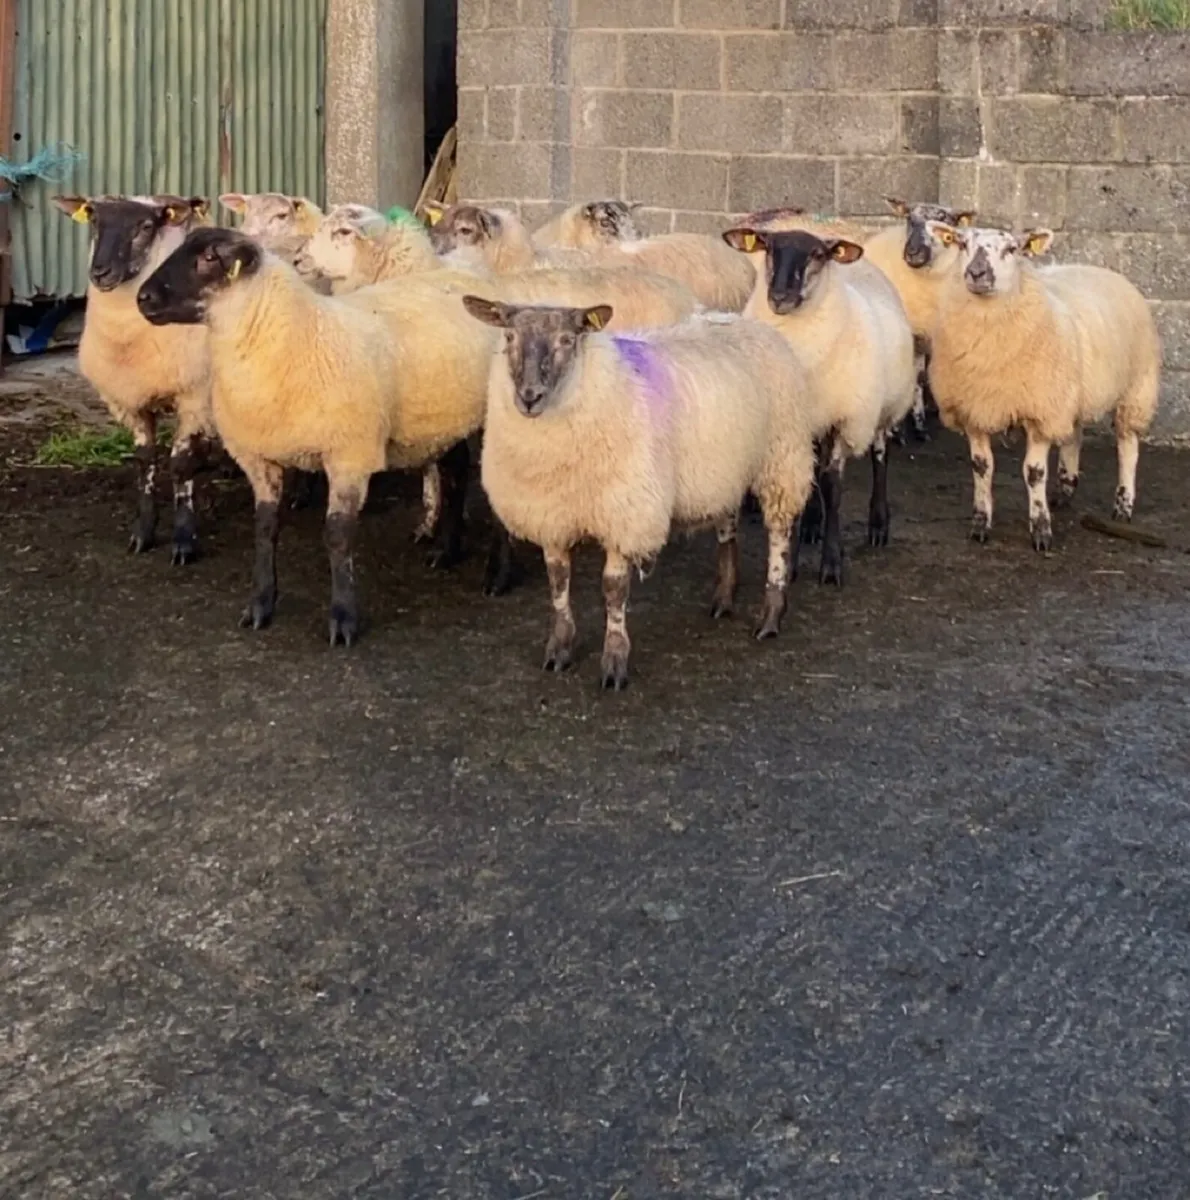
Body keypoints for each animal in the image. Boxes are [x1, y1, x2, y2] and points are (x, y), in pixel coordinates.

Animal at [53, 193, 216, 564]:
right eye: (94, 220)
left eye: (145, 226)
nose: (100, 272)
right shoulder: (129, 401)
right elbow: (145, 462)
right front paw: (143, 532)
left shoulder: (193, 397)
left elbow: (180, 465)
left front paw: (184, 540)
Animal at [136, 228, 501, 646]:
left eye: (210, 258)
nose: (142, 298)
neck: (291, 334)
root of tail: (468, 273)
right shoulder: (259, 459)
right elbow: (265, 529)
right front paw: (260, 605)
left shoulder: (348, 457)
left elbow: (337, 536)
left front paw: (343, 619)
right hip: (444, 420)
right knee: (456, 471)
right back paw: (447, 551)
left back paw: (495, 575)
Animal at [462, 298, 817, 691]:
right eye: (509, 336)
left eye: (568, 339)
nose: (529, 397)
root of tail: (743, 321)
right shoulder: (552, 515)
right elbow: (558, 582)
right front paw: (560, 648)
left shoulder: (626, 514)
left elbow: (614, 590)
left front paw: (614, 662)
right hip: (725, 470)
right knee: (728, 524)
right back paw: (724, 598)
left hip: (781, 458)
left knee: (779, 534)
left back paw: (770, 615)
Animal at [722, 223, 917, 586]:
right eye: (768, 248)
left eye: (817, 254)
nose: (779, 296)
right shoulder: (801, 422)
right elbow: (808, 483)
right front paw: (795, 559)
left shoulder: (844, 420)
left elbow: (833, 488)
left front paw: (831, 563)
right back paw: (813, 524)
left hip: (883, 407)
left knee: (880, 457)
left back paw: (878, 524)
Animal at [923, 222, 1161, 551]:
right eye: (961, 244)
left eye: (1012, 249)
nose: (976, 273)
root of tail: (1103, 269)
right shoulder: (975, 410)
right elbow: (981, 468)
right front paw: (980, 524)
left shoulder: (1040, 411)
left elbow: (1034, 473)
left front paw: (1041, 530)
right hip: (1069, 392)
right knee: (1073, 436)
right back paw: (1065, 489)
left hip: (1136, 387)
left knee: (1128, 445)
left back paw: (1123, 505)